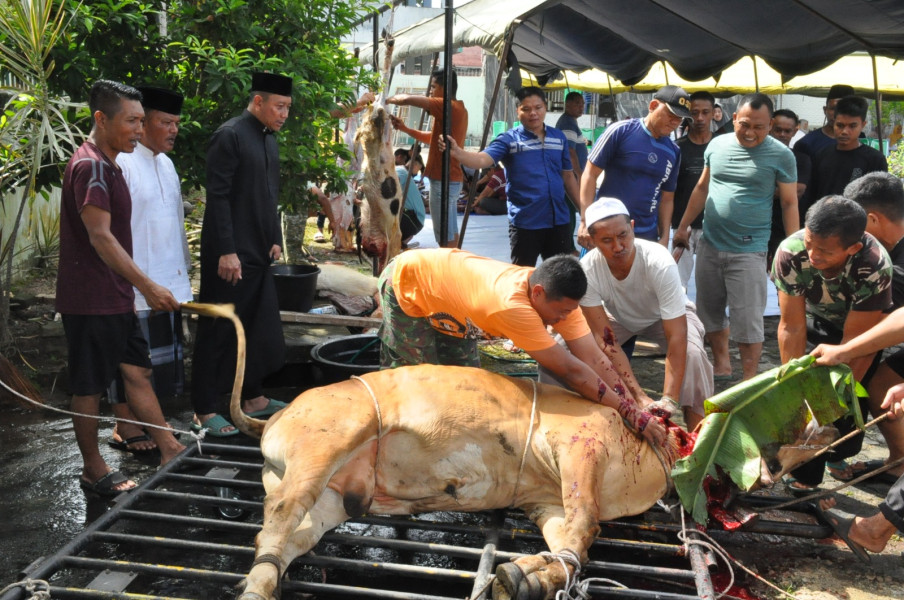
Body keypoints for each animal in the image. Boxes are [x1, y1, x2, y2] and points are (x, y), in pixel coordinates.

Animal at [230, 364, 688, 600]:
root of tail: (271, 419)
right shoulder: (581, 444)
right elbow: (585, 524)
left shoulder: (547, 501)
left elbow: (572, 542)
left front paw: (524, 578)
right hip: (330, 437)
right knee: (283, 511)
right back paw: (254, 590)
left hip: (332, 496)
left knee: (286, 537)